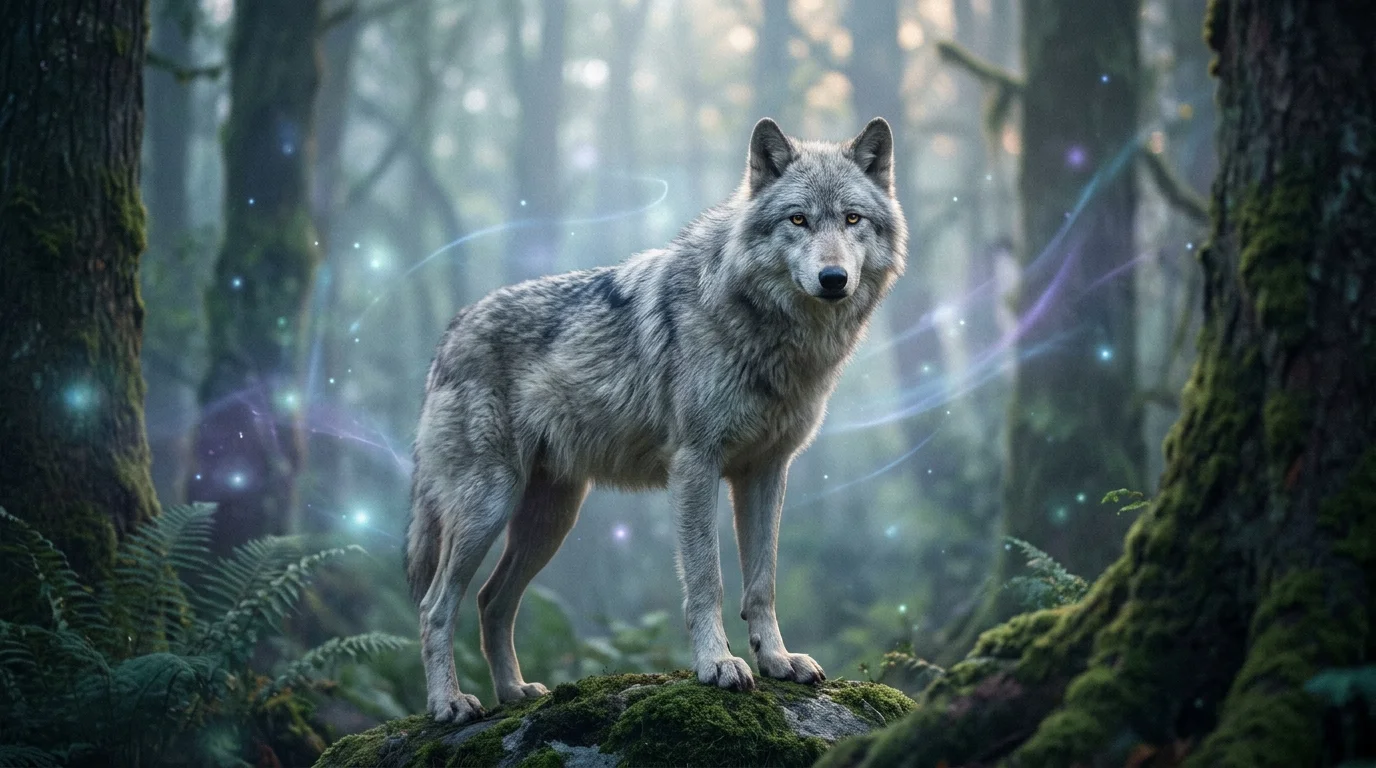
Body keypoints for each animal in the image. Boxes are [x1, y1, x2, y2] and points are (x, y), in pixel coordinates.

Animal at [406, 117, 907, 723]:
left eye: (852, 219)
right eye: (798, 219)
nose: (833, 278)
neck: (770, 334)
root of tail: (449, 334)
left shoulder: (766, 471)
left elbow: (762, 584)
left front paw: (778, 662)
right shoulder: (695, 465)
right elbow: (707, 579)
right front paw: (717, 665)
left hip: (551, 518)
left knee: (491, 602)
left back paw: (515, 693)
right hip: (487, 507)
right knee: (435, 607)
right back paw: (449, 703)